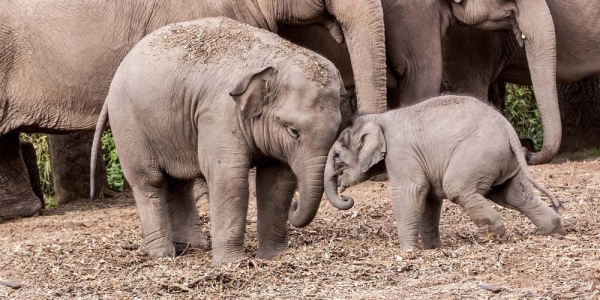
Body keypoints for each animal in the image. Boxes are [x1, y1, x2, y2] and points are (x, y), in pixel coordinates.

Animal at [88, 17, 342, 264]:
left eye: (337, 130)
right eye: (294, 131)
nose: (295, 206)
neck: (271, 61)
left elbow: (278, 181)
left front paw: (274, 257)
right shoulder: (220, 112)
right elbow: (228, 177)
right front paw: (232, 263)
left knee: (179, 182)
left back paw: (194, 247)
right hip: (129, 124)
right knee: (149, 181)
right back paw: (163, 254)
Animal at [326, 95, 564, 250]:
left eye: (336, 155)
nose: (346, 197)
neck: (378, 118)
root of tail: (508, 128)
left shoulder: (400, 153)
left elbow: (412, 190)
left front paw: (408, 251)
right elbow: (430, 198)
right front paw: (433, 249)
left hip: (476, 155)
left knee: (459, 189)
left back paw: (490, 238)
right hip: (503, 160)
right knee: (514, 194)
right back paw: (554, 230)